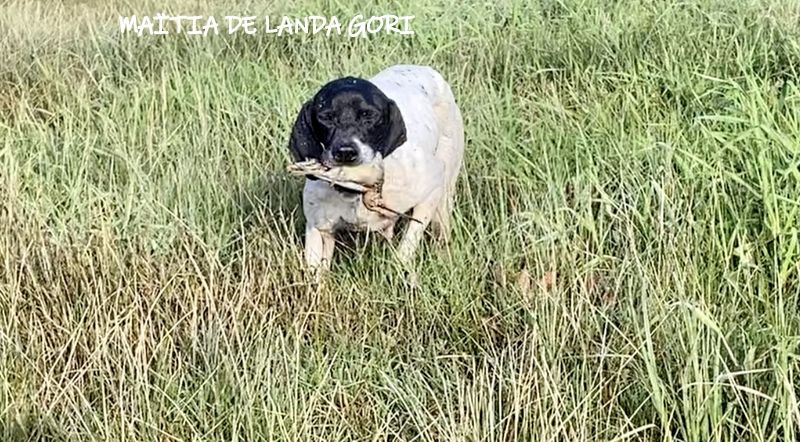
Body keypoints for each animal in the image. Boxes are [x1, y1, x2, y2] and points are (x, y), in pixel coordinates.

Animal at [288, 64, 466, 278]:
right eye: (326, 117)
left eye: (369, 115)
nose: (346, 152)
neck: (357, 193)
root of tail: (424, 68)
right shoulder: (318, 230)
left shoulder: (431, 188)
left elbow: (406, 247)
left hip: (445, 193)